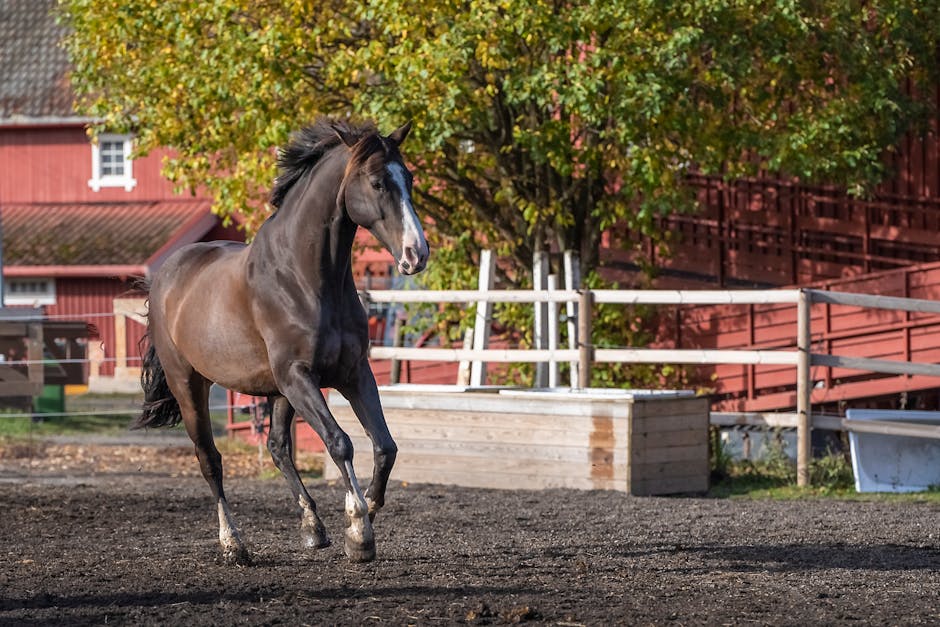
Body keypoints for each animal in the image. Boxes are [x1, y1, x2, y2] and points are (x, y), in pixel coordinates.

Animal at [132, 118, 426, 564]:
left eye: (408, 178)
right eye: (377, 182)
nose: (416, 253)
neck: (304, 277)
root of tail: (165, 275)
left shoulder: (353, 374)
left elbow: (384, 446)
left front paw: (364, 516)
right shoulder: (298, 376)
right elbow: (339, 443)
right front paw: (358, 529)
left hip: (277, 391)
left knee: (276, 446)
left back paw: (313, 528)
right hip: (192, 386)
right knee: (210, 459)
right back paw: (233, 545)